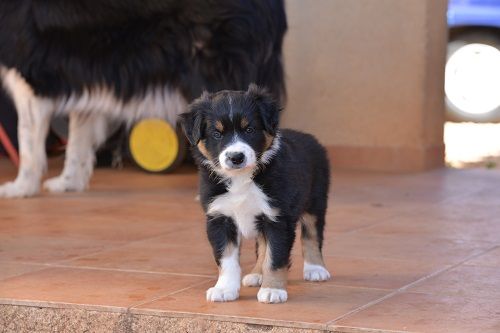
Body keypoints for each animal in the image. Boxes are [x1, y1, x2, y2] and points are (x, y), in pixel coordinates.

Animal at [0, 0, 288, 197]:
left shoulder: (29, 77)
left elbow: (27, 143)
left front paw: (20, 188)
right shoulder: (88, 76)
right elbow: (78, 142)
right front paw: (69, 183)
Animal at [180, 84, 332, 302]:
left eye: (249, 129)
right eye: (217, 134)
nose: (236, 157)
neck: (241, 179)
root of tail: (309, 137)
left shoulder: (278, 218)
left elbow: (275, 257)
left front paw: (273, 290)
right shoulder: (219, 217)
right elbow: (227, 259)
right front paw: (224, 288)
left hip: (315, 201)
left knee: (312, 235)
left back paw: (315, 269)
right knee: (262, 246)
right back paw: (258, 274)